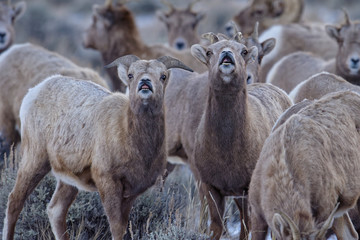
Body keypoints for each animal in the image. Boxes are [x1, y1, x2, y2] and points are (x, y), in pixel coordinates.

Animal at [2, 54, 194, 240]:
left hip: (67, 180)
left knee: (55, 210)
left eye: (163, 76)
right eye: (131, 75)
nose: (145, 83)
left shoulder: (130, 194)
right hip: (35, 160)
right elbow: (116, 228)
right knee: (14, 201)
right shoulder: (108, 183)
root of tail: (36, 91)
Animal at [183, 31, 292, 238]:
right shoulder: (213, 187)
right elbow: (217, 226)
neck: (227, 151)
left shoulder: (247, 188)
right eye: (209, 52)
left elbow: (248, 226)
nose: (226, 55)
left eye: (243, 51)